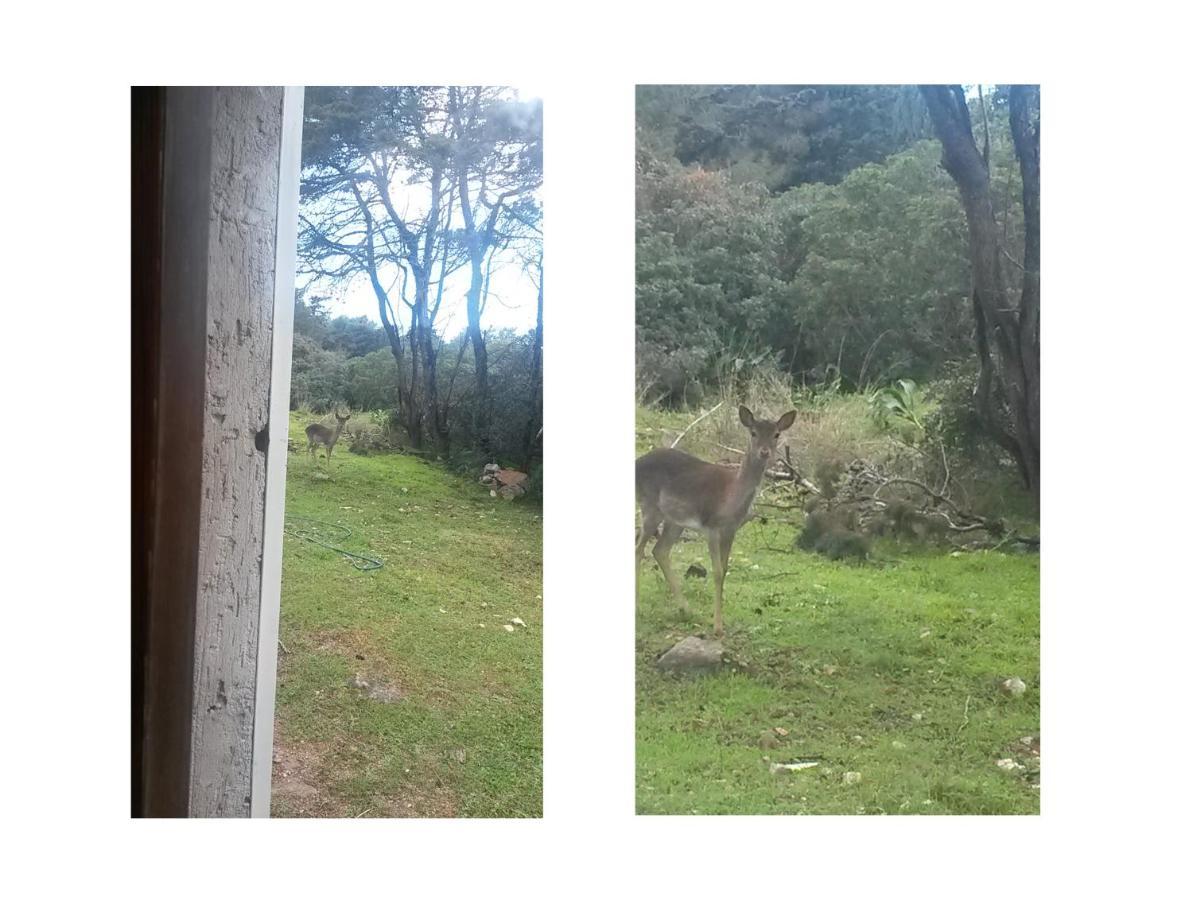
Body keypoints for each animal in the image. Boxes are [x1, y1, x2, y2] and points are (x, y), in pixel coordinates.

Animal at [639, 403, 796, 635]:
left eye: (776, 434)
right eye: (753, 432)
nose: (764, 451)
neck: (732, 497)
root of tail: (635, 464)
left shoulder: (731, 530)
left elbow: (725, 570)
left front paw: (721, 624)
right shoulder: (711, 526)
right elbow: (716, 571)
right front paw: (717, 627)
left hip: (674, 521)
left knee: (659, 550)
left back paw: (686, 609)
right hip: (650, 507)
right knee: (639, 549)